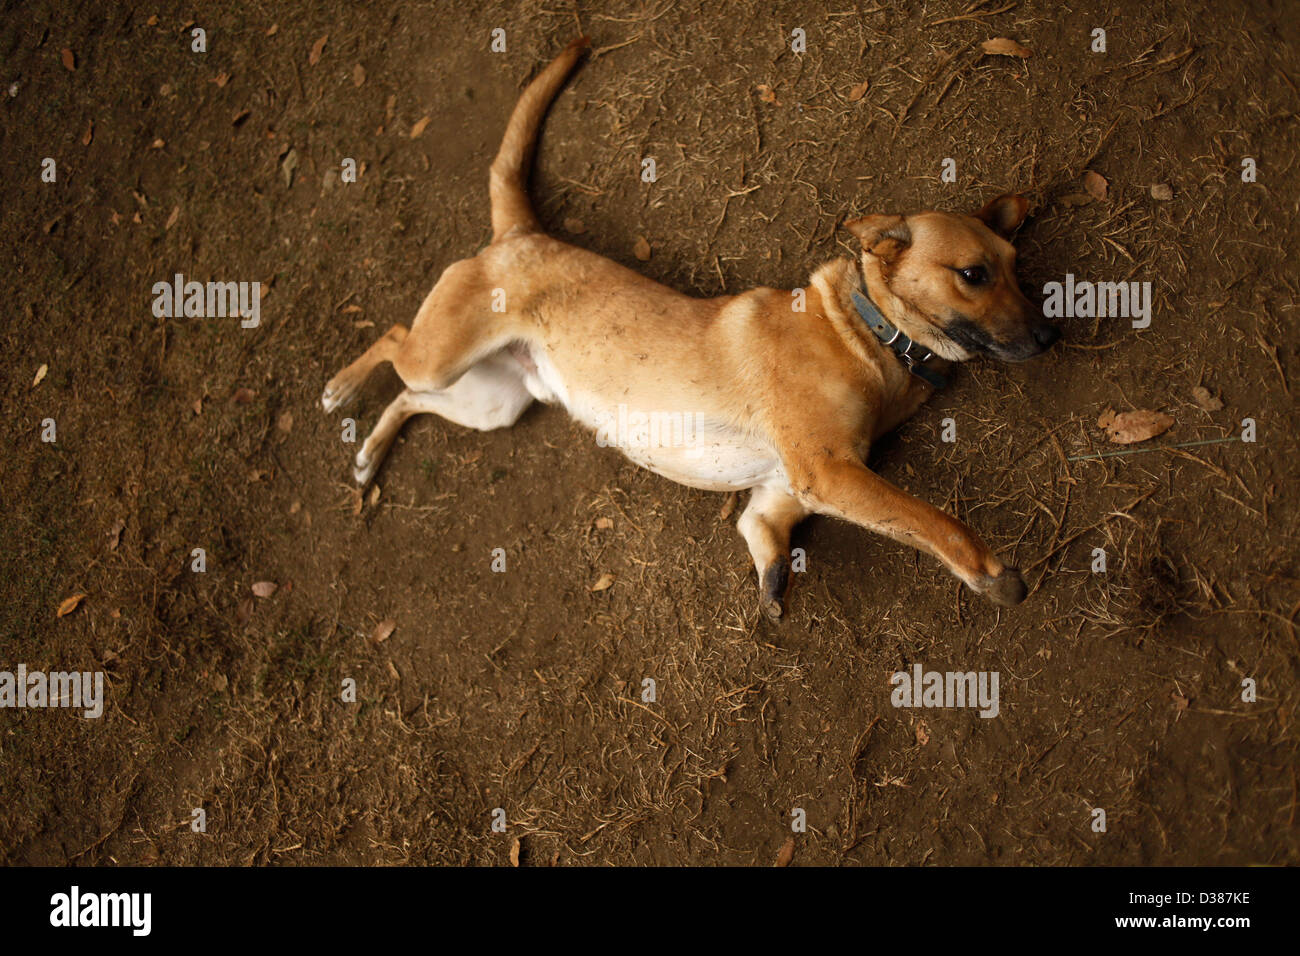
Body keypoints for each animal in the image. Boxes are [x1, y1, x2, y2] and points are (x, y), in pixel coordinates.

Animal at [322, 33, 1055, 621]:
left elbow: (766, 538)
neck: (867, 332)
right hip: (441, 356)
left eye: (1017, 268)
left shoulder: (781, 494)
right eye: (973, 274)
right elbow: (935, 522)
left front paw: (772, 584)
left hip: (493, 403)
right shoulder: (829, 472)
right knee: (392, 340)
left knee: (410, 397)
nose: (1051, 337)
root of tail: (522, 233)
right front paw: (992, 573)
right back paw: (339, 389)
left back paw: (367, 455)